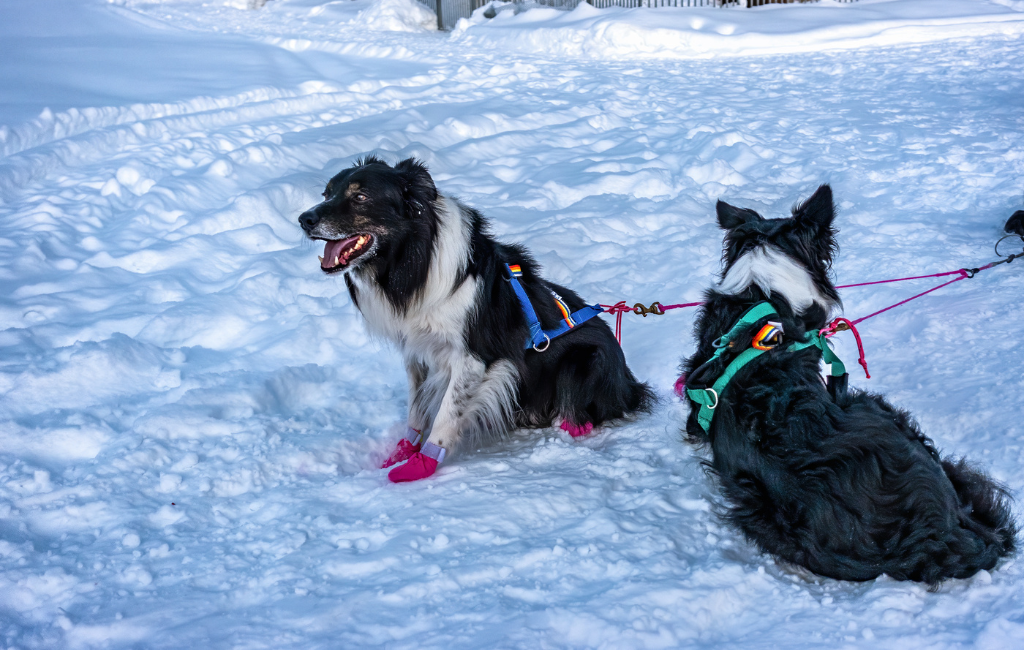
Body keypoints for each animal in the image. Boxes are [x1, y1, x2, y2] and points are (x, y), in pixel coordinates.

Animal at [296, 156, 651, 483]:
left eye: (360, 196)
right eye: (327, 193)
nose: (304, 219)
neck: (413, 259)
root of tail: (631, 385)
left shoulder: (472, 358)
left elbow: (445, 414)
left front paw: (421, 465)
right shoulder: (417, 352)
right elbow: (416, 408)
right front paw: (402, 453)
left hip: (584, 362)